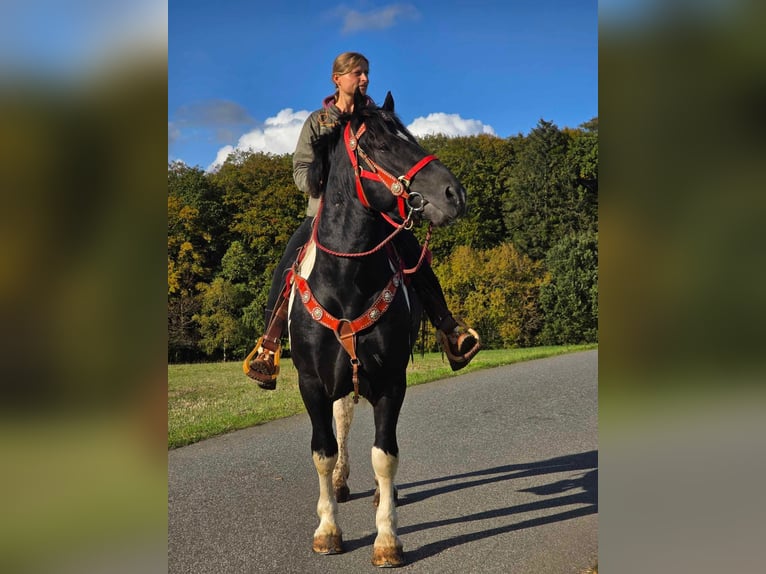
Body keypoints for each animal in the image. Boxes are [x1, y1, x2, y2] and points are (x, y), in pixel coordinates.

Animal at [288, 89, 468, 568]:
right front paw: (327, 529)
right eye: (381, 146)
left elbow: (385, 455)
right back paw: (341, 484)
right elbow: (323, 452)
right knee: (342, 418)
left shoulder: (390, 379)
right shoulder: (311, 383)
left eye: (412, 136)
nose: (455, 193)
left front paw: (387, 538)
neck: (345, 281)